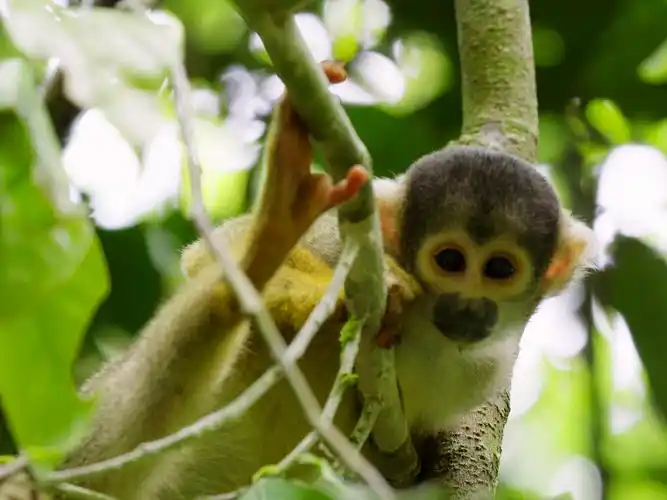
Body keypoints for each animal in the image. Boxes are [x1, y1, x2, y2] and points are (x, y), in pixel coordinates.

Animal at [57, 60, 598, 499]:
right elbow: (204, 255)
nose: (467, 305)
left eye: (499, 269)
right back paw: (259, 253)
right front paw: (319, 292)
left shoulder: (479, 373)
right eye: (450, 260)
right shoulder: (351, 244)